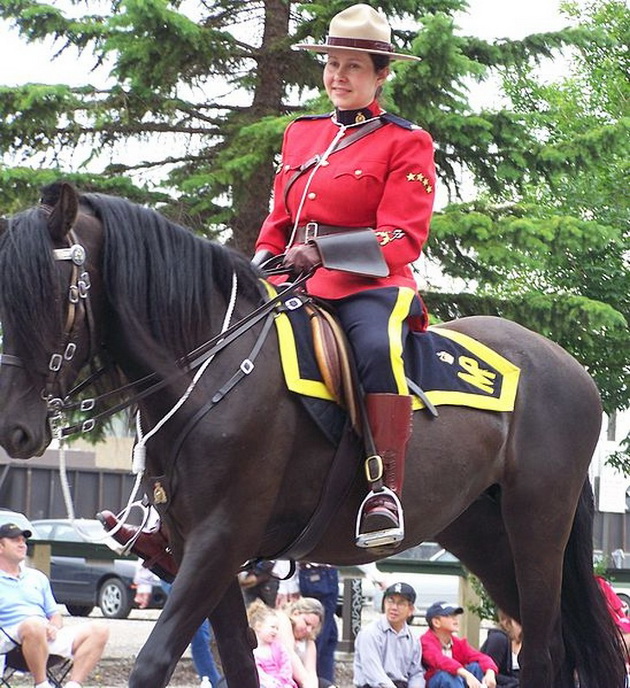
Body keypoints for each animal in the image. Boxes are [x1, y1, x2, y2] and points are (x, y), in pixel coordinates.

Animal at [0, 183, 628, 688]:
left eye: (50, 295)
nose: (15, 428)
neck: (212, 372)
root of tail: (570, 369)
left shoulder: (219, 539)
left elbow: (153, 663)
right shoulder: (196, 546)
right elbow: (240, 661)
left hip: (537, 526)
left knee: (544, 651)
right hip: (481, 533)